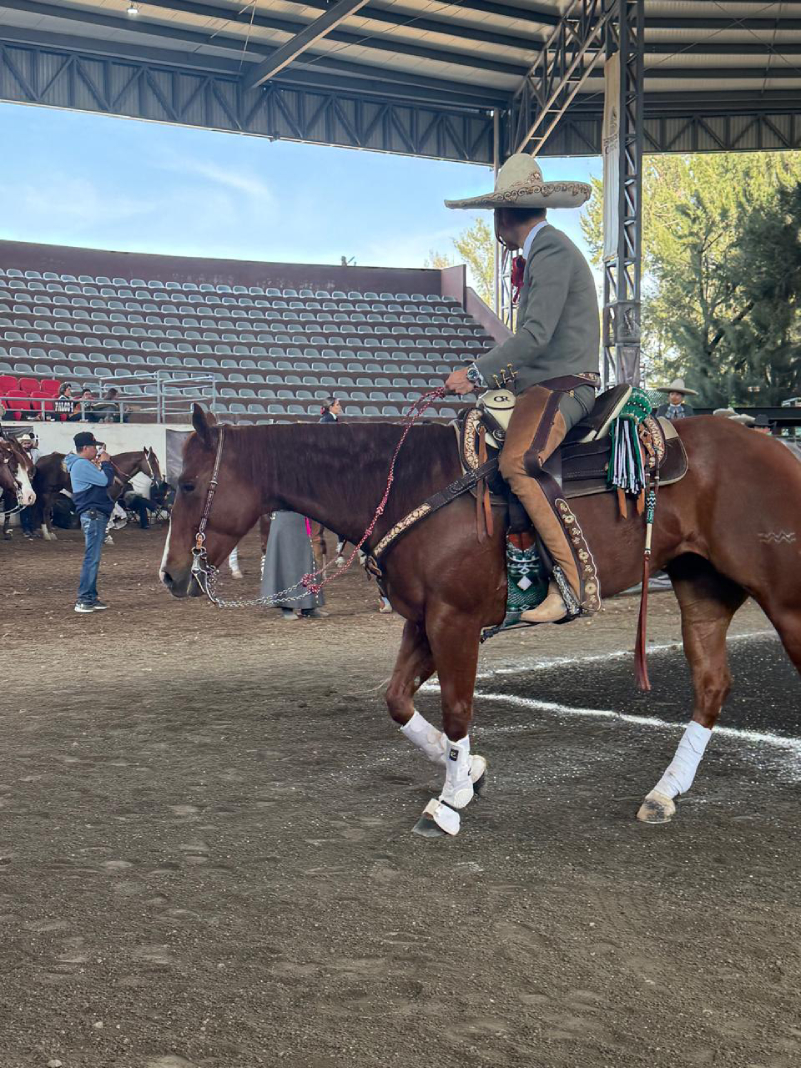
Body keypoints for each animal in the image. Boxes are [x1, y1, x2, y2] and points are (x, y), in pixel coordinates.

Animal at [32, 447, 161, 539]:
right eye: (152, 462)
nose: (159, 480)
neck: (114, 472)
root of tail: (40, 461)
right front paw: (106, 536)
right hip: (46, 491)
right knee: (43, 509)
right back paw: (46, 534)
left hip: (54, 491)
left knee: (46, 509)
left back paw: (50, 533)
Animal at [160, 404, 801, 837]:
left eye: (188, 484)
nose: (171, 575)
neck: (409, 485)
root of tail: (777, 449)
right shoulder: (422, 621)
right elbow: (398, 700)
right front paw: (468, 772)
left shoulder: (455, 621)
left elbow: (457, 706)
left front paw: (447, 802)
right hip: (701, 589)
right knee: (711, 686)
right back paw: (665, 792)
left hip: (784, 599)